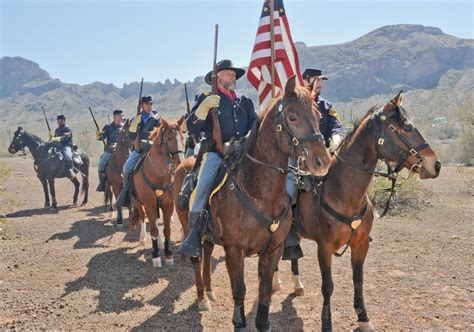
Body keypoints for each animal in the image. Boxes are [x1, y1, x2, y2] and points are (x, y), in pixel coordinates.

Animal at [130, 116, 185, 268]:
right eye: (170, 138)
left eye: (182, 138)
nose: (181, 162)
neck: (157, 174)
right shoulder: (149, 204)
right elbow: (154, 229)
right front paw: (156, 256)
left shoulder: (167, 204)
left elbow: (167, 230)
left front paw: (168, 254)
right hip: (138, 202)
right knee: (144, 218)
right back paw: (143, 239)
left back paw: (159, 243)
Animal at [172, 77, 332, 330]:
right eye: (292, 117)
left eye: (318, 115)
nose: (322, 161)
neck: (258, 191)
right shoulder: (234, 250)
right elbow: (240, 290)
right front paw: (239, 321)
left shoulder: (273, 250)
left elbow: (264, 291)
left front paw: (262, 322)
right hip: (189, 226)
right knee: (197, 258)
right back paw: (201, 299)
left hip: (209, 235)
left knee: (207, 253)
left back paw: (209, 291)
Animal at [282, 91, 440, 332]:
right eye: (406, 128)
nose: (435, 164)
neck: (343, 192)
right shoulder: (324, 248)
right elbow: (327, 286)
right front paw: (326, 323)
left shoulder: (361, 244)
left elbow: (358, 280)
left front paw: (363, 317)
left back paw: (297, 284)